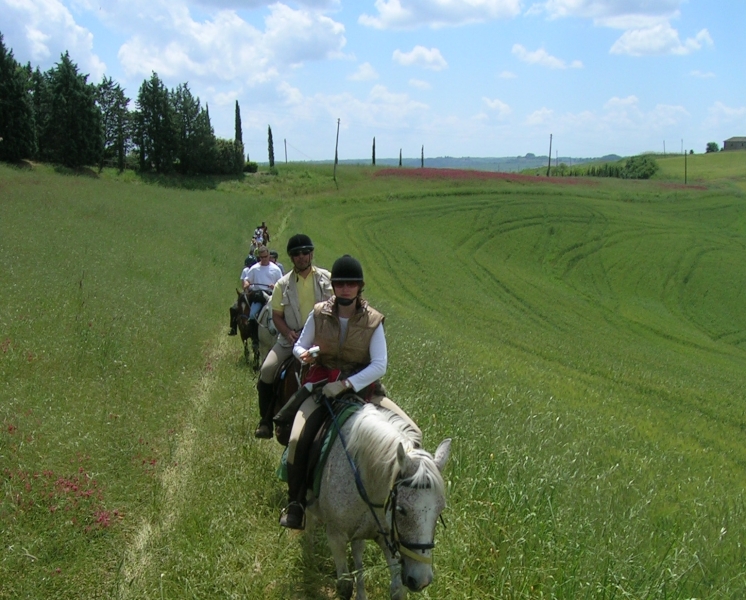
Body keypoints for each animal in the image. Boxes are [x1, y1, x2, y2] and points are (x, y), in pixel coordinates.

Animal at [302, 400, 448, 600]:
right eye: (401, 510)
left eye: (440, 510)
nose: (421, 580)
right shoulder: (335, 536)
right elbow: (345, 586)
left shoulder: (387, 539)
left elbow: (398, 589)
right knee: (309, 518)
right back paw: (309, 555)